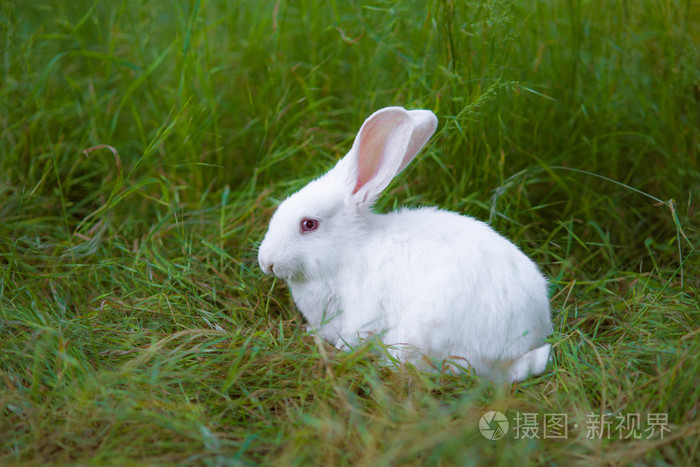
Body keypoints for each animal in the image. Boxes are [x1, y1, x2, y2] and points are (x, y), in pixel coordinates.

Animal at [258, 107, 552, 384]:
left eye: (309, 224)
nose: (266, 262)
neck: (347, 251)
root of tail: (514, 354)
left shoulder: (362, 312)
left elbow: (355, 335)